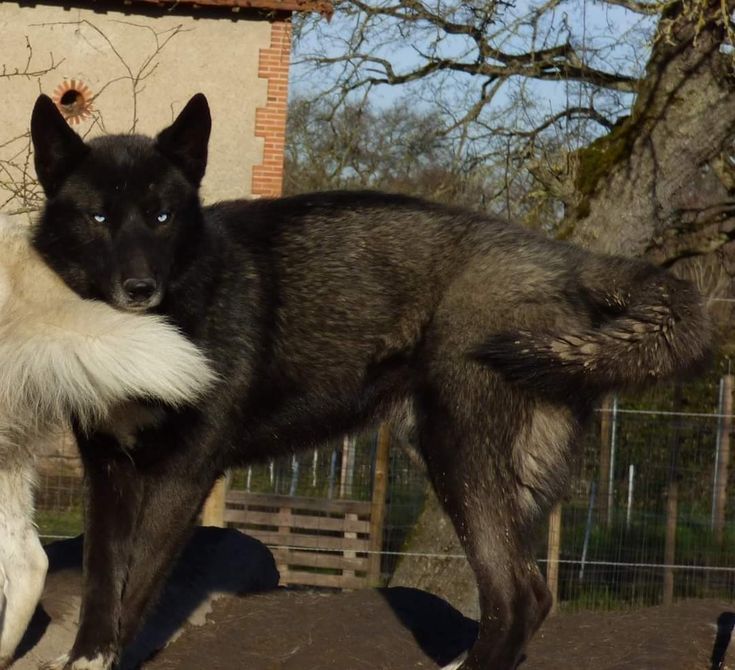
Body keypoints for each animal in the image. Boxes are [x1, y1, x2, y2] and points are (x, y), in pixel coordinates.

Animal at [30, 94, 712, 670]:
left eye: (163, 217)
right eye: (98, 217)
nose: (140, 289)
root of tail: (557, 257)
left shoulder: (184, 474)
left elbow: (138, 583)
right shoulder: (108, 471)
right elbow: (101, 581)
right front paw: (87, 657)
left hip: (458, 455)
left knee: (518, 595)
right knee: (532, 594)